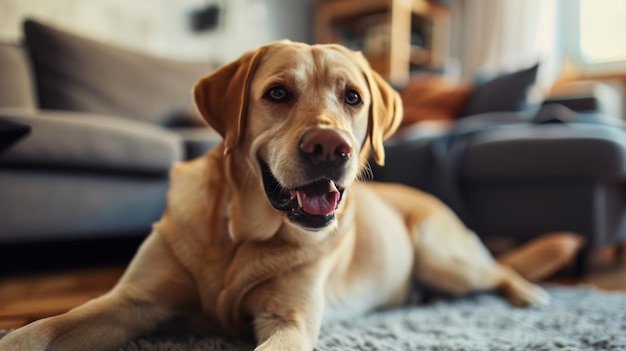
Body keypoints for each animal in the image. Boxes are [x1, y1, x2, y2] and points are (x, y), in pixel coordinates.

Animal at [0, 41, 580, 351]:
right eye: (277, 93)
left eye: (353, 98)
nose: (329, 147)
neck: (238, 236)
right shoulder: (133, 302)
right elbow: (42, 327)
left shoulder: (290, 321)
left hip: (444, 256)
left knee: (498, 268)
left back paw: (528, 293)